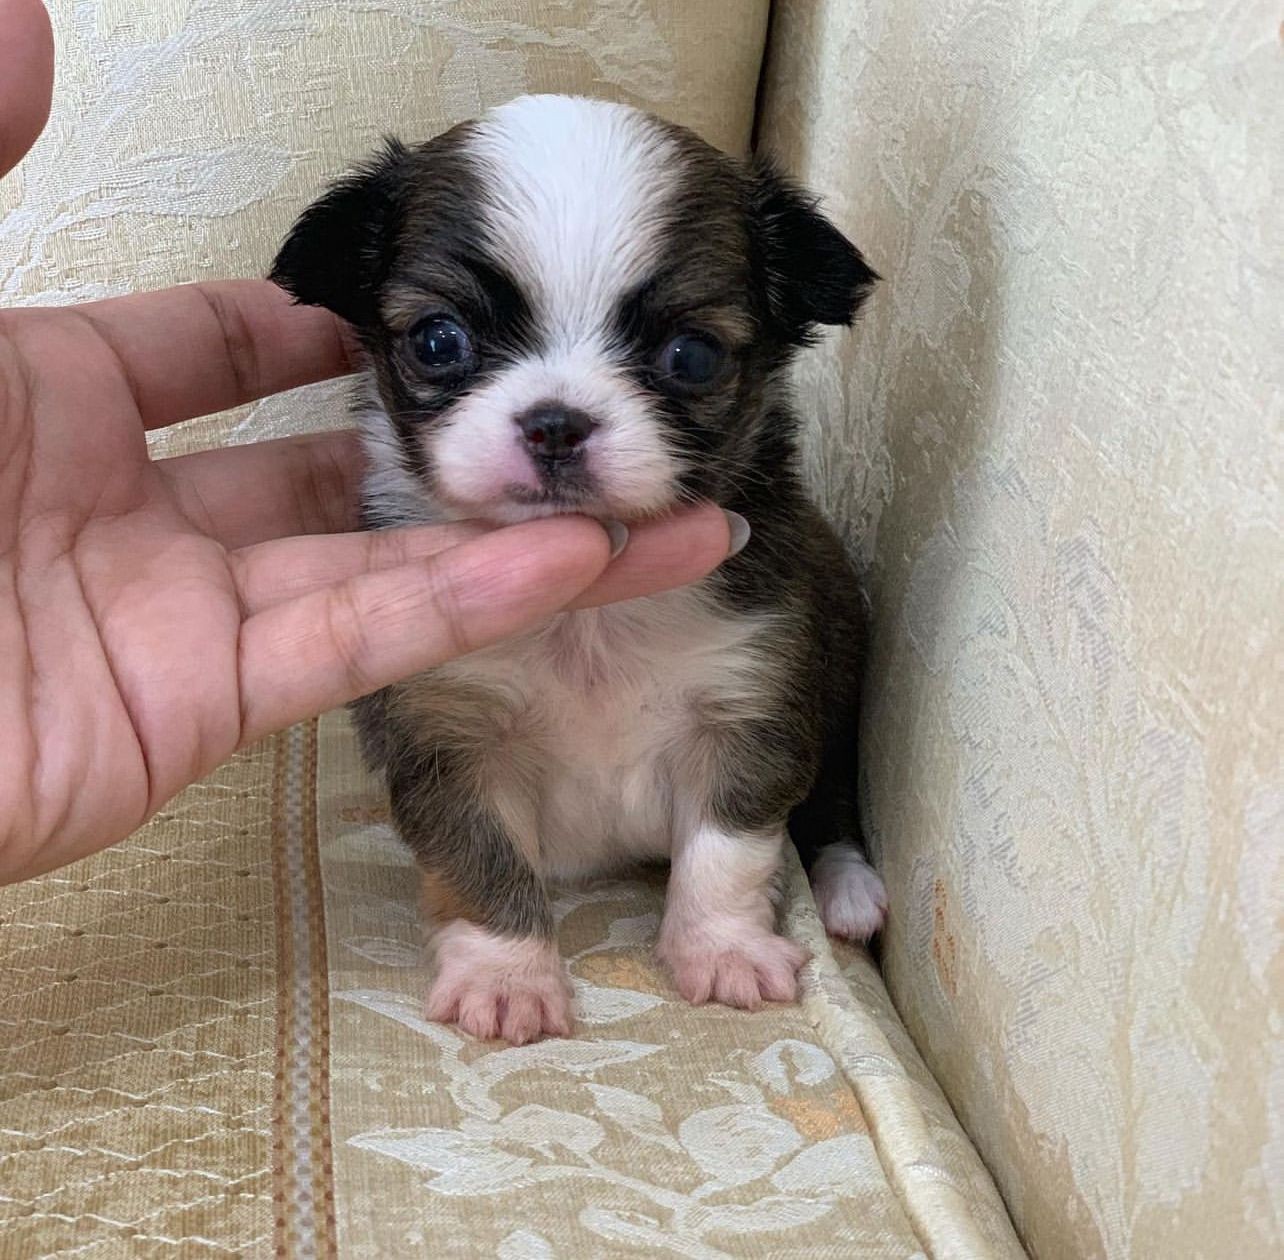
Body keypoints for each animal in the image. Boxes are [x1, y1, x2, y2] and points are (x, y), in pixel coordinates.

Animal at [272, 95, 888, 1042]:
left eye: (692, 356)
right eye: (439, 340)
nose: (555, 421)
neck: (589, 608)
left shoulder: (753, 705)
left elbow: (729, 850)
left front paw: (723, 950)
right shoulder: (450, 736)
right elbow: (481, 859)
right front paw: (506, 975)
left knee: (832, 806)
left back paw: (849, 891)